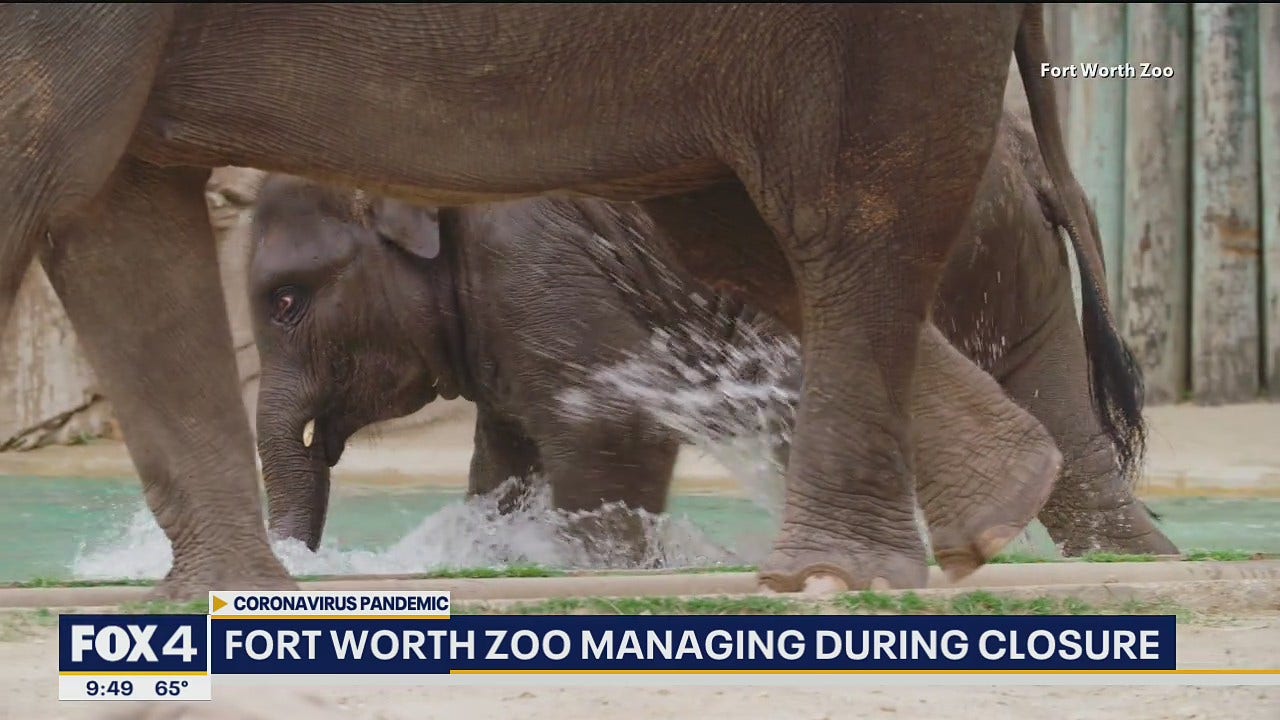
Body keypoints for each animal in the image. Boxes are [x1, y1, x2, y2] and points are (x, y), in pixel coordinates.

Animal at [2, 4, 1090, 594]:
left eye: (285, 304)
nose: (301, 557)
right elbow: (114, 216)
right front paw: (223, 595)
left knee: (845, 215)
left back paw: (833, 576)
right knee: (744, 234)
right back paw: (1002, 510)